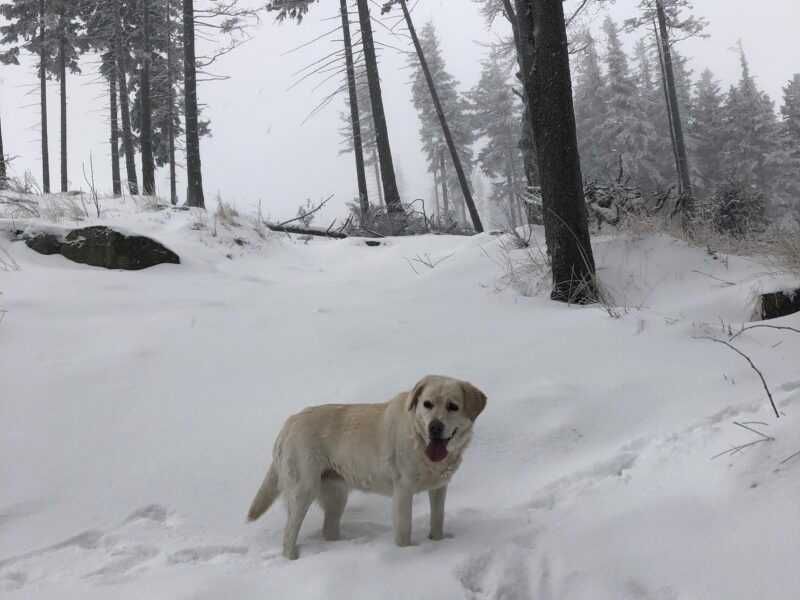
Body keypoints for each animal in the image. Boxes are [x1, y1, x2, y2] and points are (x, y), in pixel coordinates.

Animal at [247, 372, 488, 560]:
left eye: (453, 407)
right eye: (427, 404)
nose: (434, 427)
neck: (419, 439)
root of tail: (289, 423)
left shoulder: (439, 488)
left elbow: (438, 520)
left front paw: (437, 543)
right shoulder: (403, 491)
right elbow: (404, 531)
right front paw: (405, 554)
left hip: (336, 496)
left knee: (328, 529)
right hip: (303, 492)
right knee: (289, 535)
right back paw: (293, 559)